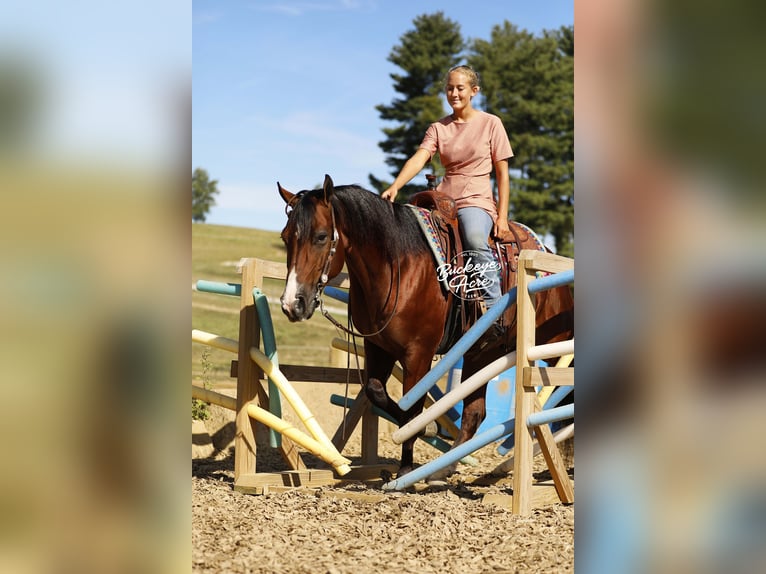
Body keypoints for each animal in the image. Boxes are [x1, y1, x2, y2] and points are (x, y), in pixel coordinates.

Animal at [278, 174, 574, 479]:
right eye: (285, 237)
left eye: (321, 236)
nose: (292, 303)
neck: (398, 265)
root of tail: (545, 251)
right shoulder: (378, 346)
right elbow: (377, 391)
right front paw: (428, 428)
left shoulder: (418, 353)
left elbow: (412, 410)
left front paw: (406, 467)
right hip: (482, 353)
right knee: (474, 414)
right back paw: (443, 470)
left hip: (553, 345)